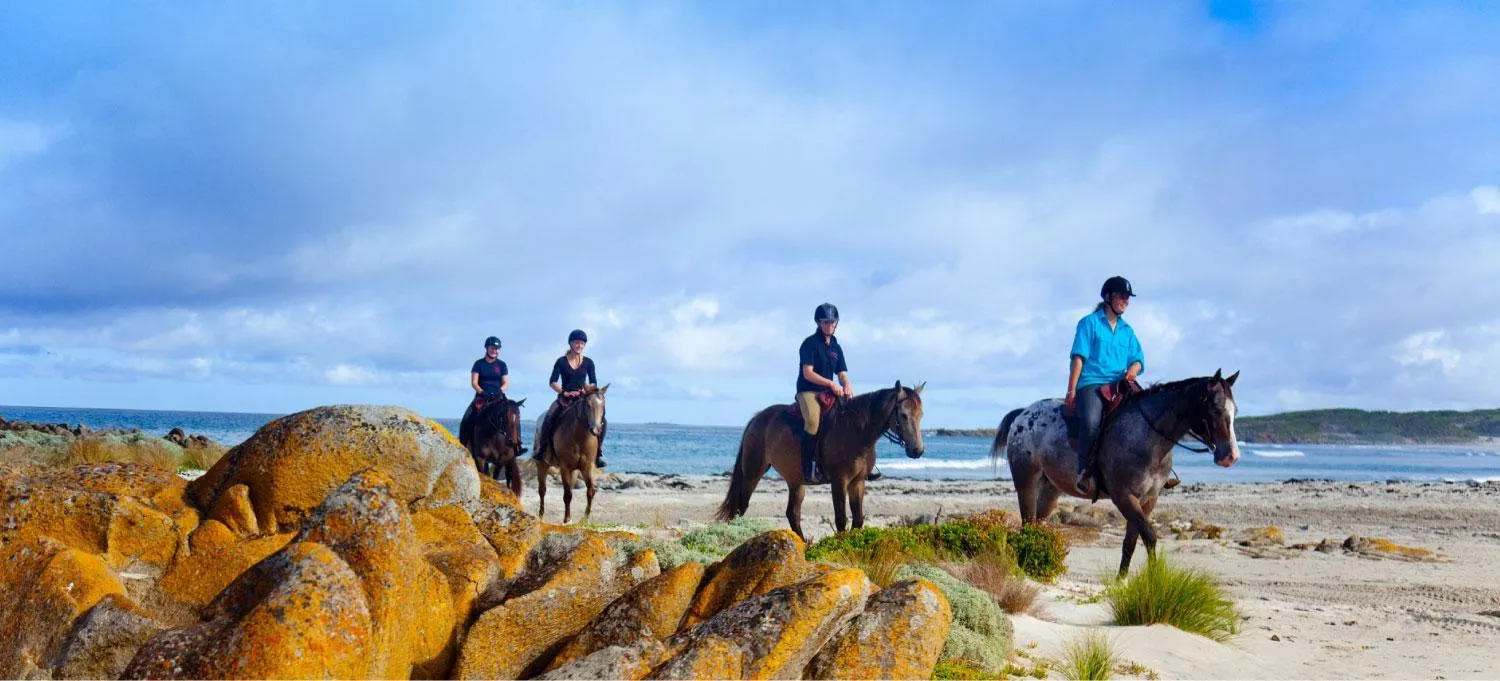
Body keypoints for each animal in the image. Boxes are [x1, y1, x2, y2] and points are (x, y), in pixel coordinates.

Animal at [534, 384, 608, 523]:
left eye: (603, 405)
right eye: (587, 405)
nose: (595, 430)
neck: (579, 437)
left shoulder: (587, 467)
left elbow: (590, 490)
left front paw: (585, 519)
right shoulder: (565, 467)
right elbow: (567, 494)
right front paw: (567, 519)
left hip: (574, 470)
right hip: (542, 465)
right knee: (542, 490)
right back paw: (540, 516)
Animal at [717, 381, 927, 540]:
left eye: (921, 415)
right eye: (903, 415)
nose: (917, 450)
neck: (856, 432)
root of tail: (757, 418)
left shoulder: (857, 482)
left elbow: (858, 519)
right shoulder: (839, 481)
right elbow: (841, 519)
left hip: (796, 480)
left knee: (792, 513)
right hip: (753, 472)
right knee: (741, 507)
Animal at [991, 370, 1241, 576]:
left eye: (1235, 411)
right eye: (1215, 409)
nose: (1231, 456)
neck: (1146, 435)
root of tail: (1023, 414)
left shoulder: (1148, 499)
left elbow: (1131, 541)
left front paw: (1122, 581)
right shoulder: (1124, 497)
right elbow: (1150, 536)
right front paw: (1155, 579)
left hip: (1052, 488)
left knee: (1038, 524)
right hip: (1026, 481)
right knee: (1027, 522)